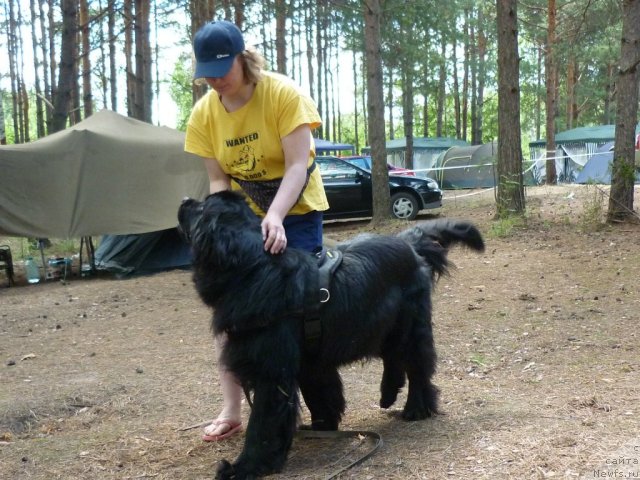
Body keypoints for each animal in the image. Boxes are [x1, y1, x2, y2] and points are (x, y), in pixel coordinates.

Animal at [178, 191, 482, 480]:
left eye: (202, 208)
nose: (184, 200)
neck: (252, 270)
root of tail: (408, 242)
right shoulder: (311, 360)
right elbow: (322, 393)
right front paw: (323, 426)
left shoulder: (271, 373)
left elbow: (262, 423)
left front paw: (244, 467)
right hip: (381, 324)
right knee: (393, 357)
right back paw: (387, 394)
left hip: (410, 326)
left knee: (418, 366)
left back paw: (416, 409)